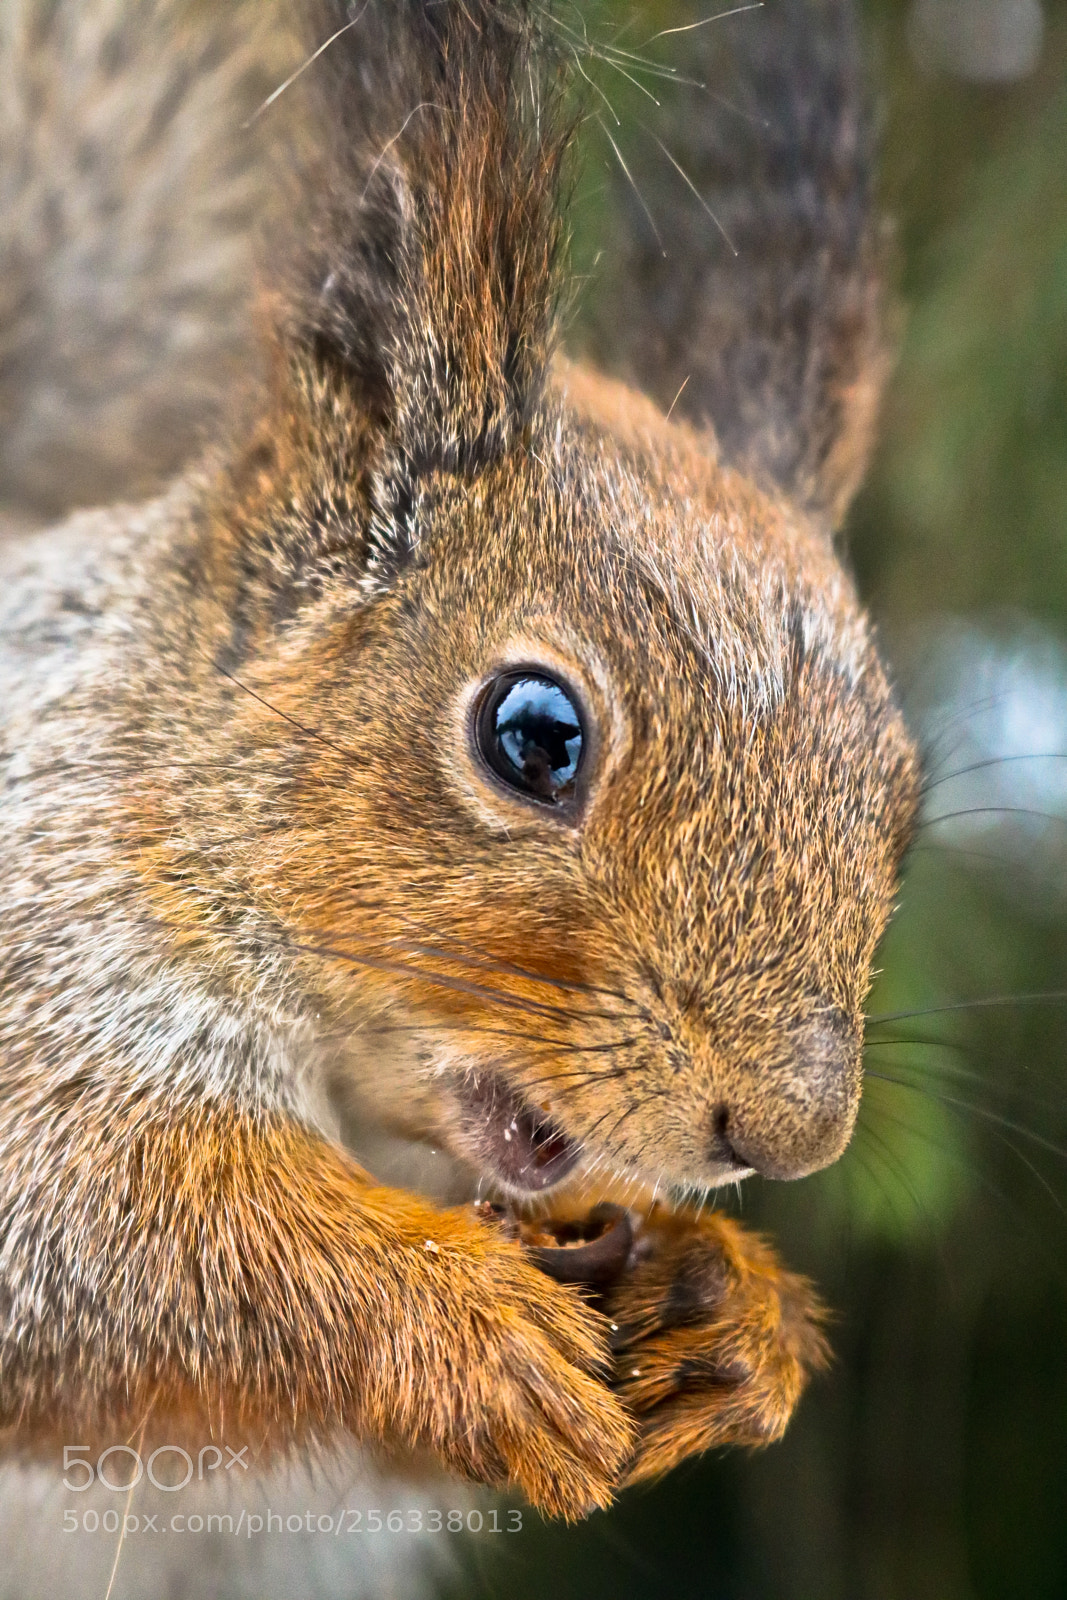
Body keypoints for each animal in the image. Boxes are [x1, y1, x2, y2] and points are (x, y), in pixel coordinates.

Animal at [0, 0, 920, 1523]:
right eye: (534, 737)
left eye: (900, 808)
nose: (787, 1136)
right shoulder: (42, 908)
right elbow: (94, 1220)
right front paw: (458, 1318)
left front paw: (725, 1307)